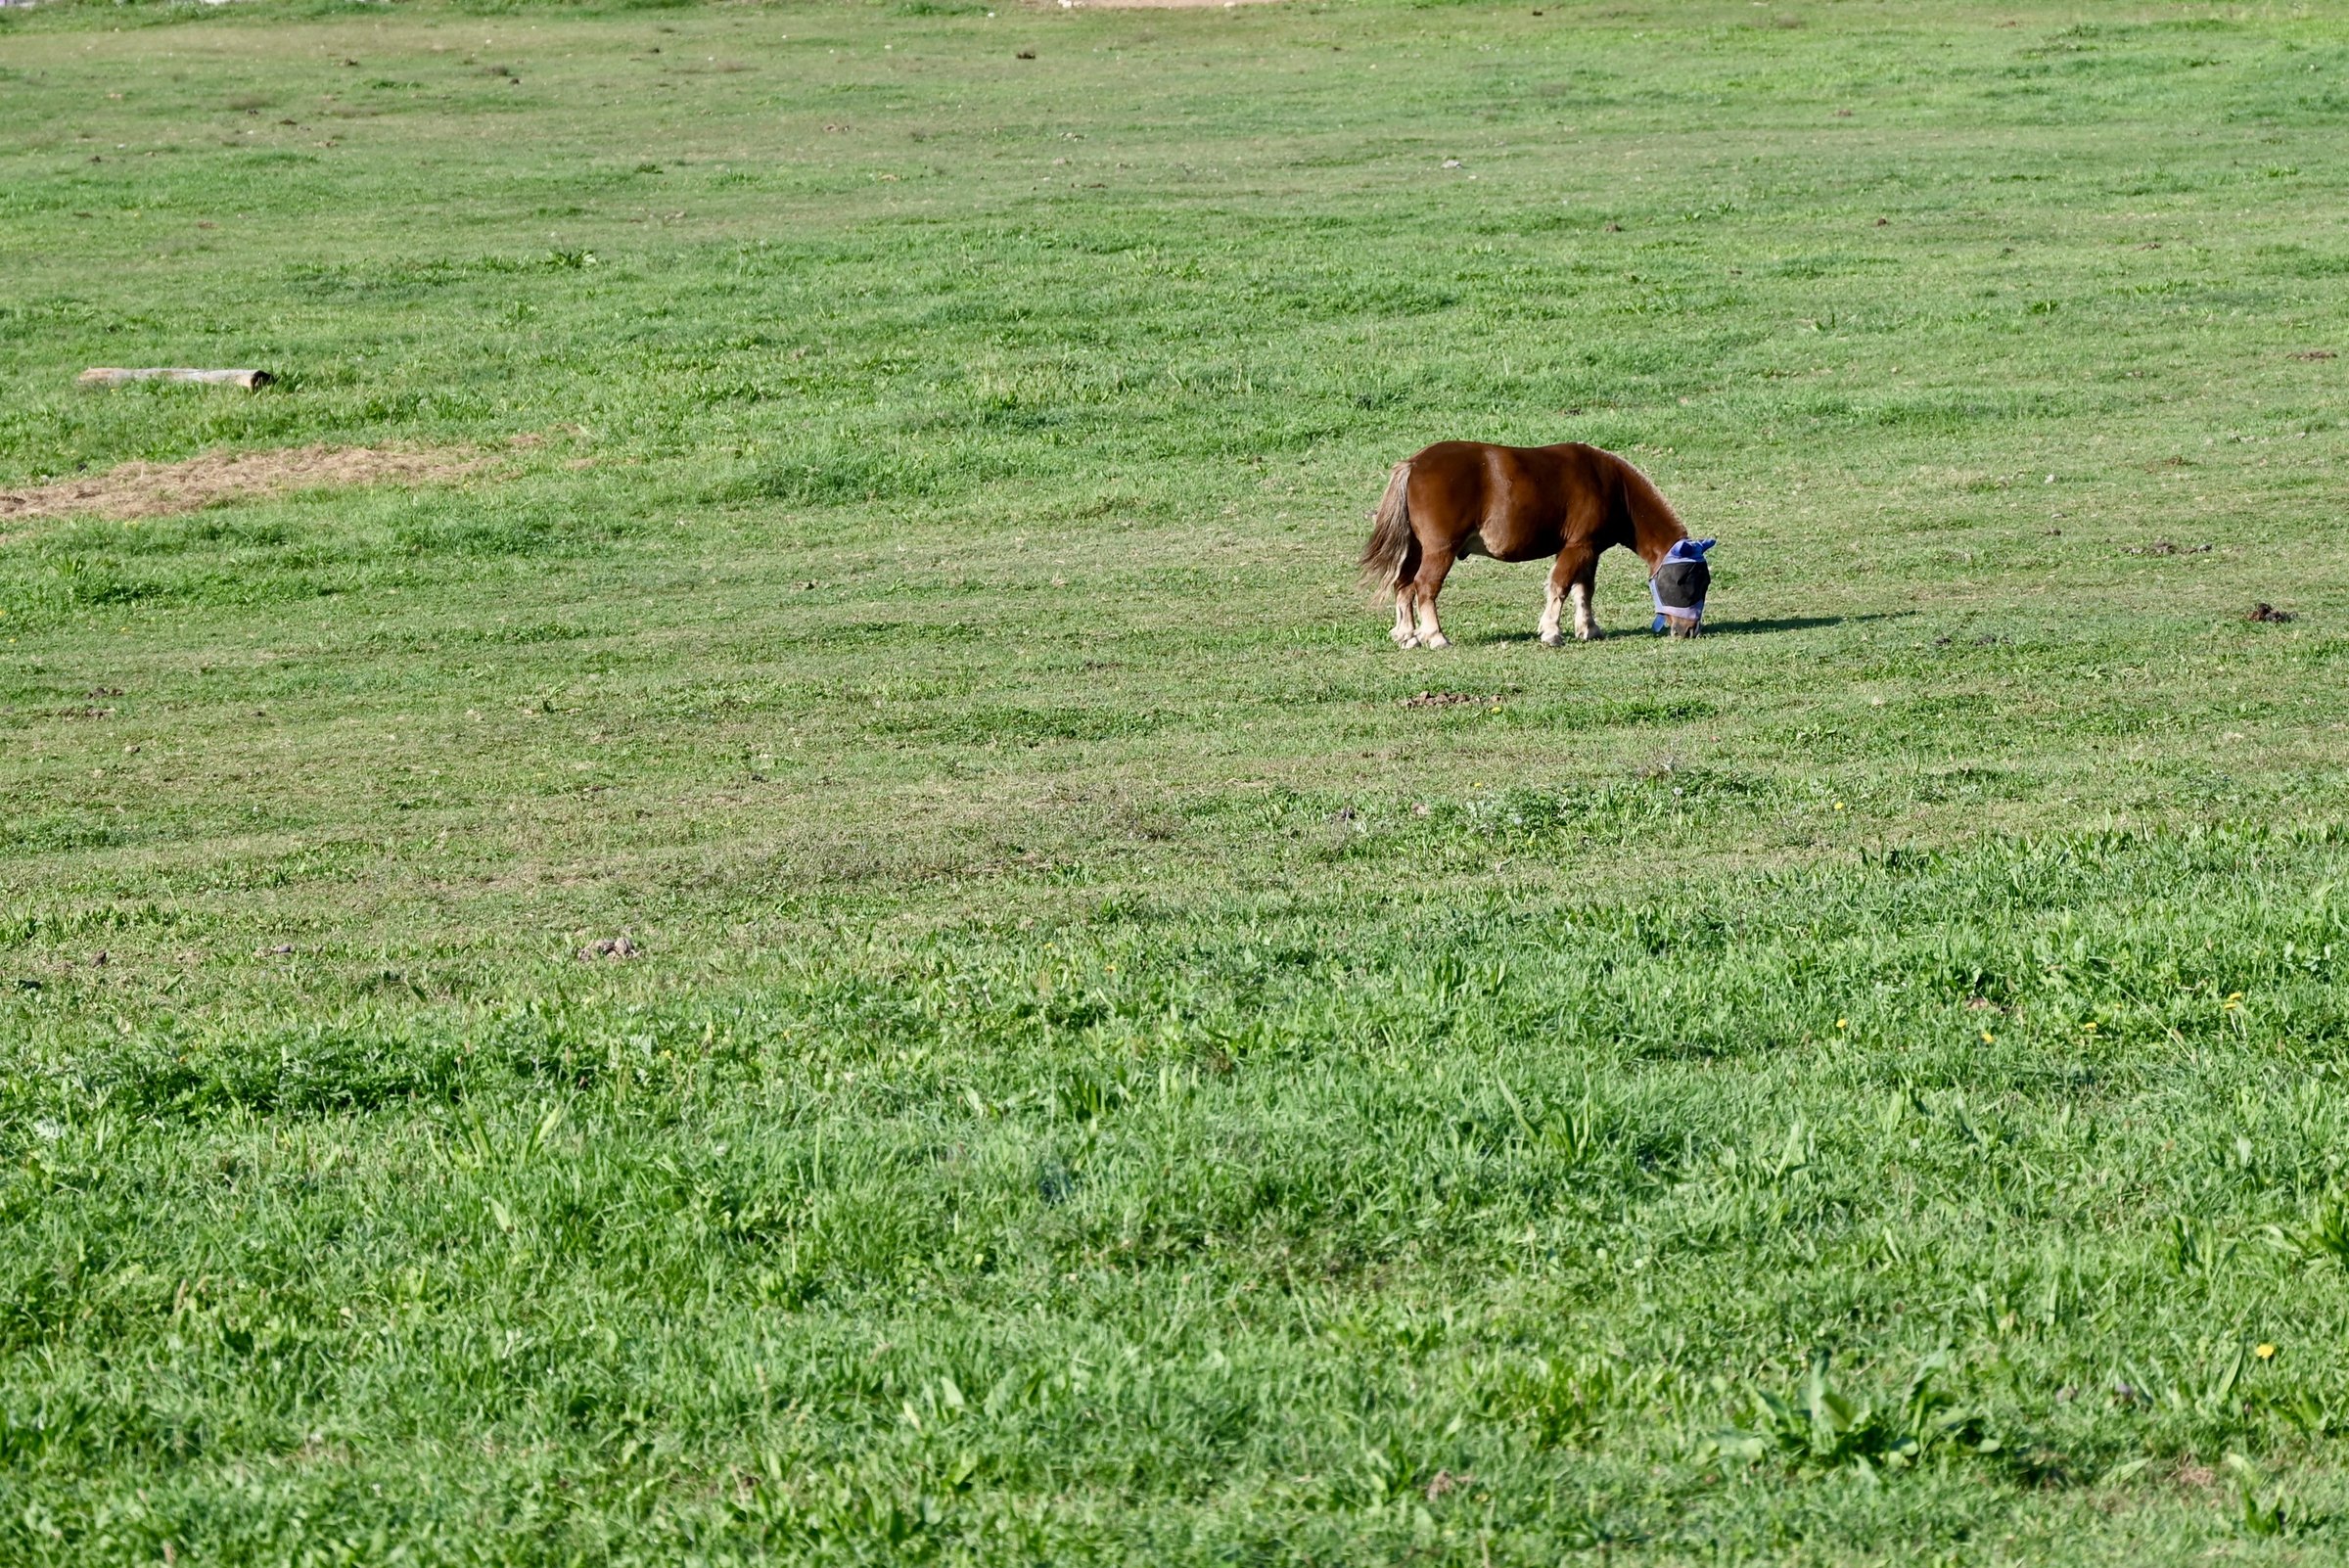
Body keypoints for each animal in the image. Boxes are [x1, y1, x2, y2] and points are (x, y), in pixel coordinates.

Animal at [1359, 441, 1706, 647]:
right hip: (1439, 550)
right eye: (1687, 581)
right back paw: (1435, 636)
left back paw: (1407, 635)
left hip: (1416, 549)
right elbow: (1560, 587)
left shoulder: (1589, 550)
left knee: (1403, 586)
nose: (1690, 630)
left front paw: (1589, 629)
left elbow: (1584, 590)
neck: (1611, 486)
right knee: (1424, 587)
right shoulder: (1577, 547)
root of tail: (1414, 464)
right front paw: (1552, 632)